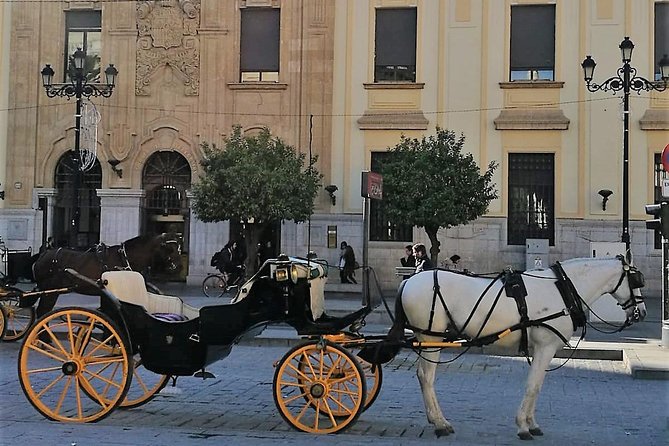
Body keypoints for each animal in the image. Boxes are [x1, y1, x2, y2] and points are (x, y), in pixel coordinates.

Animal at [32, 233, 181, 318]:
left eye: (178, 248)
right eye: (170, 248)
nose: (178, 267)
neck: (124, 258)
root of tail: (43, 255)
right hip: (50, 291)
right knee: (42, 311)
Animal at [368, 256, 644, 440]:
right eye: (635, 279)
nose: (641, 312)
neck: (562, 288)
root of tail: (409, 281)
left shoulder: (545, 350)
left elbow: (537, 386)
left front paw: (532, 423)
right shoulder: (544, 346)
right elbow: (533, 386)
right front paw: (523, 426)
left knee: (423, 375)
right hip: (431, 338)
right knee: (426, 377)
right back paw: (440, 423)